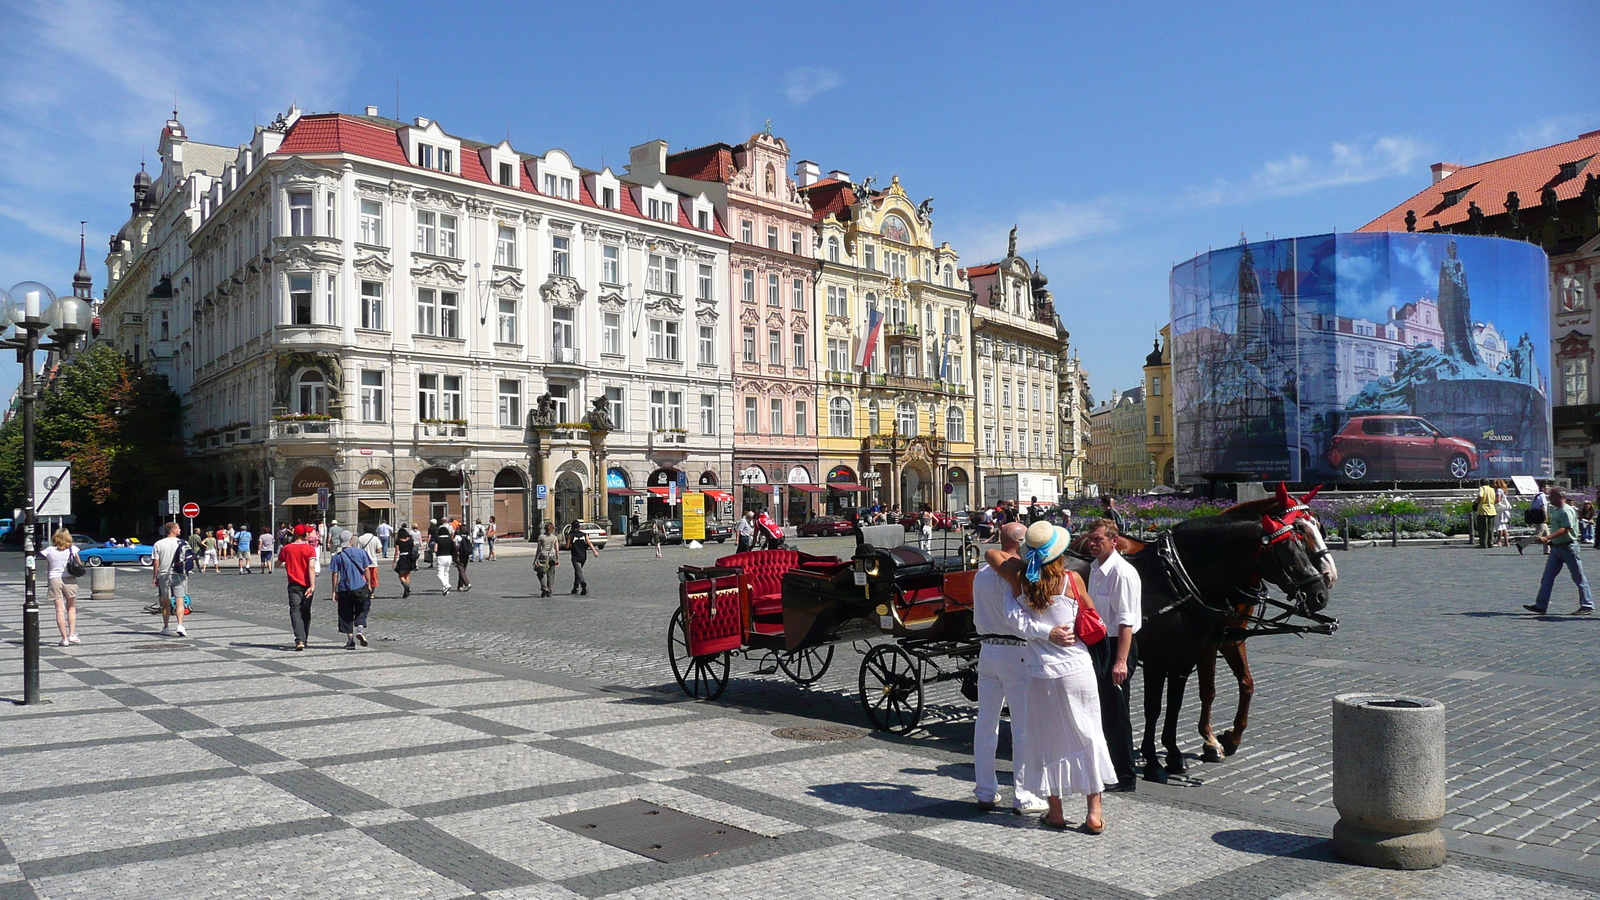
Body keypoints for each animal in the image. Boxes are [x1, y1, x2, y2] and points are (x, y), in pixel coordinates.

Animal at [1068, 512, 1331, 778]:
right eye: (1288, 552)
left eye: (1305, 541)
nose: (1321, 593)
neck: (1173, 581)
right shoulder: (1157, 660)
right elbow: (1154, 707)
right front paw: (1153, 761)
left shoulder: (1188, 656)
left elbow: (1176, 703)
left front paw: (1175, 754)